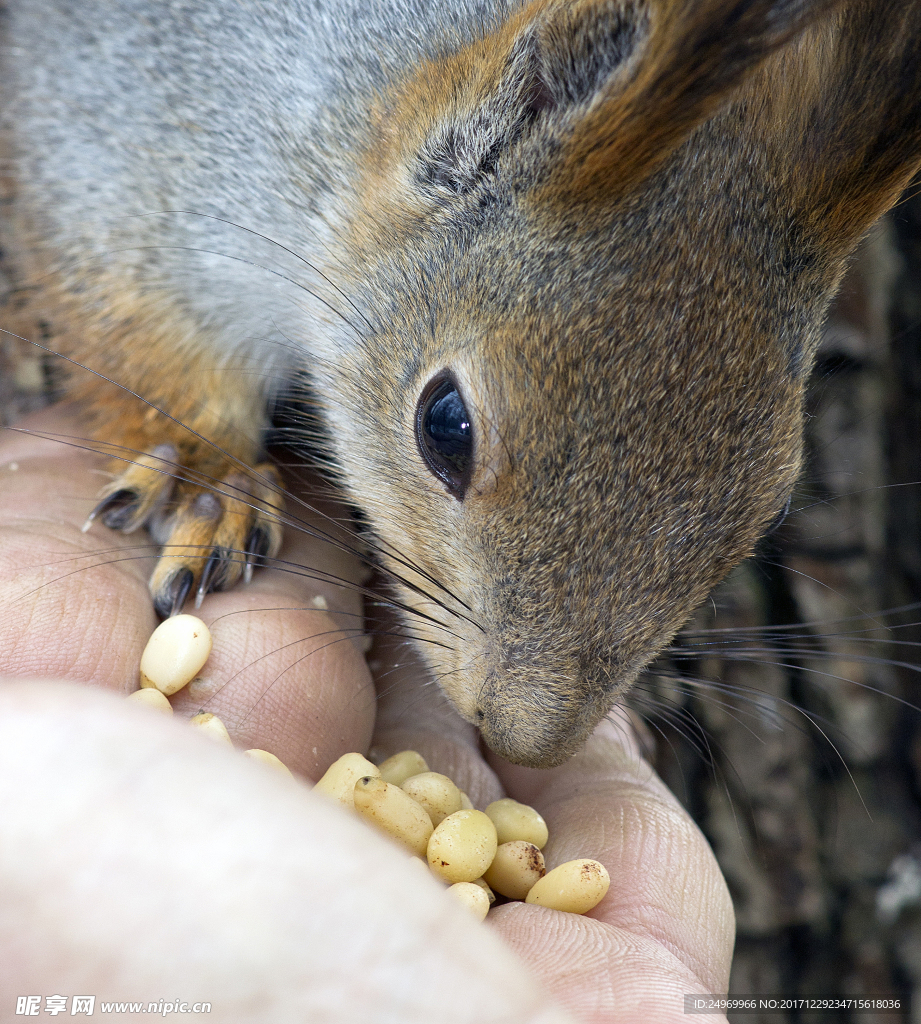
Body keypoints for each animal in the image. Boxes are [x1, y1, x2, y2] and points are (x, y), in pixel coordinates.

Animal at [1, 0, 921, 770]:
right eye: (444, 424)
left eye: (772, 504)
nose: (526, 740)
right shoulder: (113, 147)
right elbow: (134, 335)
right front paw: (208, 481)